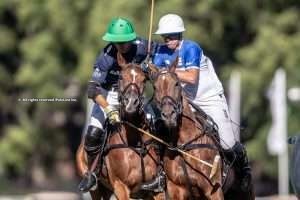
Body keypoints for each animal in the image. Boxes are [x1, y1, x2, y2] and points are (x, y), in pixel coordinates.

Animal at [76, 53, 163, 200]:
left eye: (144, 80)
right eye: (121, 77)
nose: (131, 103)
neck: (134, 142)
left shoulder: (154, 190)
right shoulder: (120, 186)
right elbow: (93, 88)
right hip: (96, 188)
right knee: (93, 134)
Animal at [152, 61, 223, 199]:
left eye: (176, 84)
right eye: (155, 87)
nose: (168, 115)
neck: (184, 145)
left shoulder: (214, 190)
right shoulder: (176, 189)